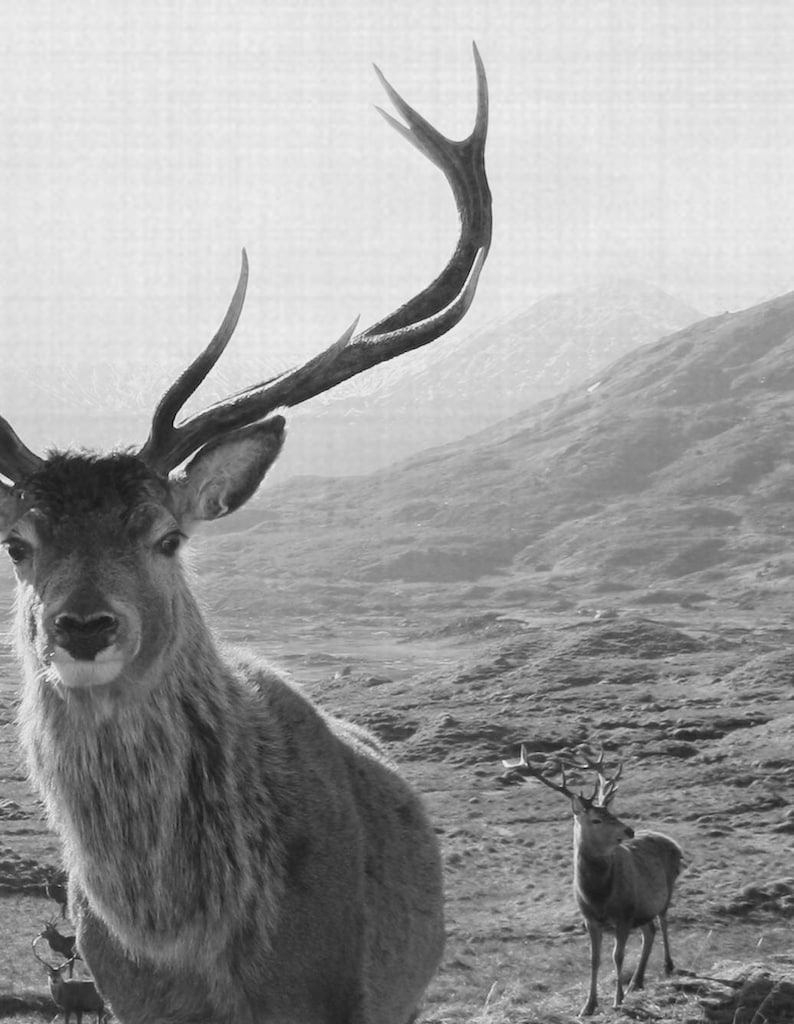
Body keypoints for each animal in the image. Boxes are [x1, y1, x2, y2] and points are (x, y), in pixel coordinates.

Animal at [3, 45, 491, 1024]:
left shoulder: (335, 990)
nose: (83, 627)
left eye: (165, 536)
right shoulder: (124, 1000)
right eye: (17, 545)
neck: (196, 947)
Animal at [501, 745, 684, 1017]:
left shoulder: (623, 914)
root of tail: (674, 843)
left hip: (665, 890)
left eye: (612, 813)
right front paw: (588, 1006)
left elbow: (617, 955)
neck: (598, 896)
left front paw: (617, 1000)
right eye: (596, 819)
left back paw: (668, 966)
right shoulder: (590, 919)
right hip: (642, 908)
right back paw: (636, 981)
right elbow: (594, 959)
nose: (629, 831)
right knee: (649, 931)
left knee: (662, 922)